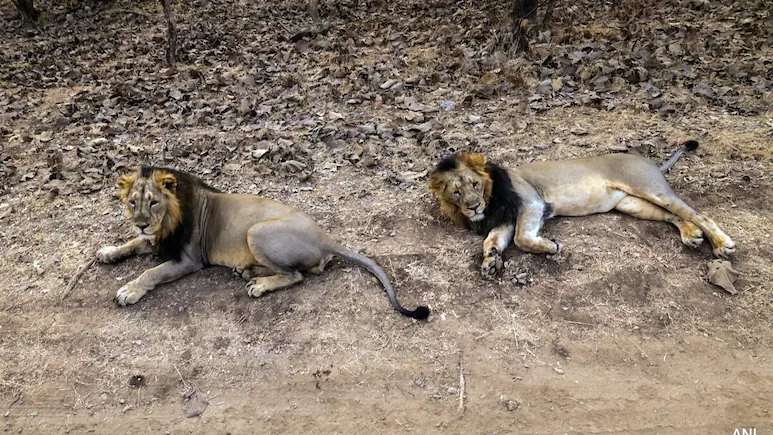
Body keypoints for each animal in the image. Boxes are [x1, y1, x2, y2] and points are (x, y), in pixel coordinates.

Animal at [96, 166, 430, 320]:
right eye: (132, 202)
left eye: (153, 202)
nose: (141, 222)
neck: (166, 221)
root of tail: (326, 237)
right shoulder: (154, 240)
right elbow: (129, 244)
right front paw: (108, 252)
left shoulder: (188, 259)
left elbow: (150, 272)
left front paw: (128, 291)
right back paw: (247, 272)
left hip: (256, 231)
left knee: (295, 275)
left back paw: (258, 284)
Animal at [428, 141, 736, 279]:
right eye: (456, 192)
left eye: (475, 184)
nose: (473, 207)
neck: (491, 201)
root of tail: (648, 161)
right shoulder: (505, 219)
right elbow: (492, 241)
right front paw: (490, 261)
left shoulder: (533, 202)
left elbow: (522, 238)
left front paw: (551, 247)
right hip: (632, 204)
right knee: (675, 215)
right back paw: (692, 236)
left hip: (648, 188)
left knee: (696, 213)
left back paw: (722, 244)